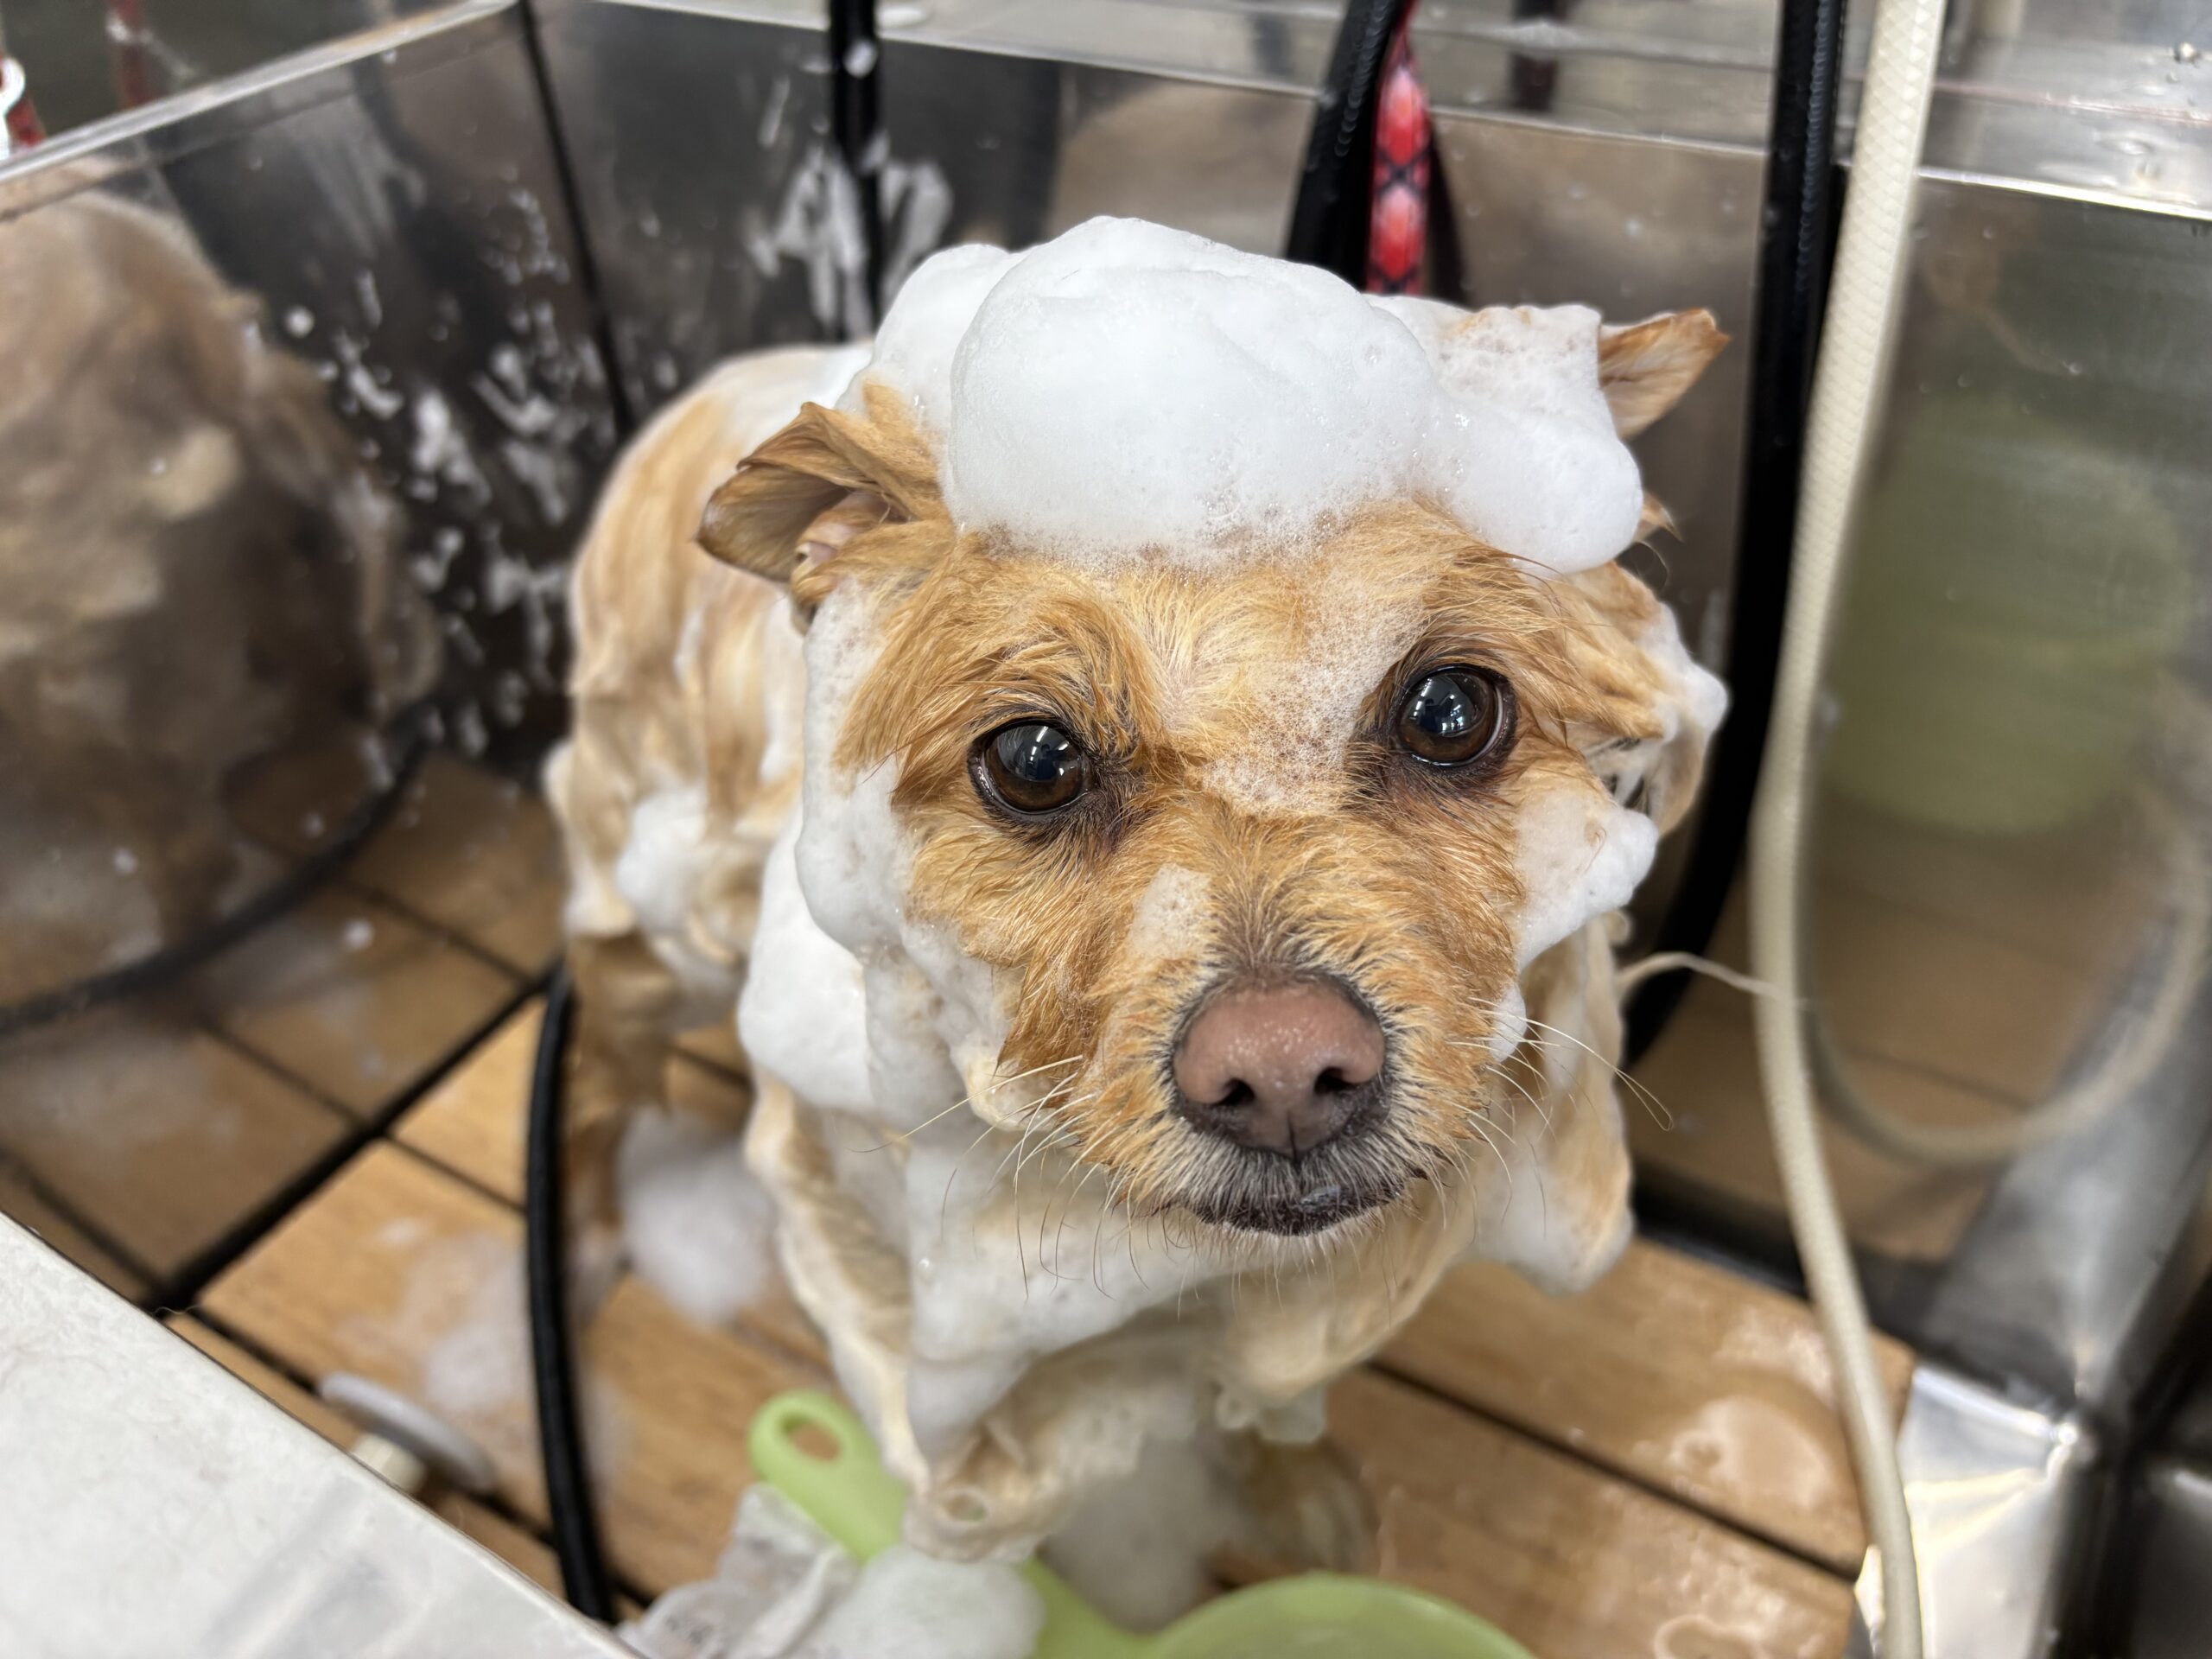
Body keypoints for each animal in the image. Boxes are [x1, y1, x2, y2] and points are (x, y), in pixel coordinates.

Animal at [550, 217, 1725, 1610]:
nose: (1283, 1073)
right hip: (649, 916)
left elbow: (1257, 1401)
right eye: (1035, 759)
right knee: (599, 1057)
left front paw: (1293, 1489)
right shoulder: (879, 1274)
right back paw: (585, 1237)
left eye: (1450, 709)